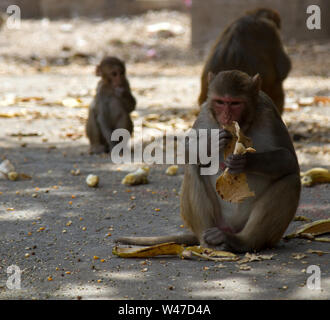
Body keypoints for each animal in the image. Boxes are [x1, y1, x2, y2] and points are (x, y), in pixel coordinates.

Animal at [116, 70, 302, 252]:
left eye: (235, 103)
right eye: (220, 102)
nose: (226, 116)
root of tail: (230, 228)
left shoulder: (269, 113)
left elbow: (289, 159)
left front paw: (245, 161)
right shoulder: (205, 113)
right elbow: (187, 149)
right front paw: (211, 143)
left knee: (291, 180)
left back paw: (241, 241)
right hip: (217, 220)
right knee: (192, 167)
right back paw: (209, 243)